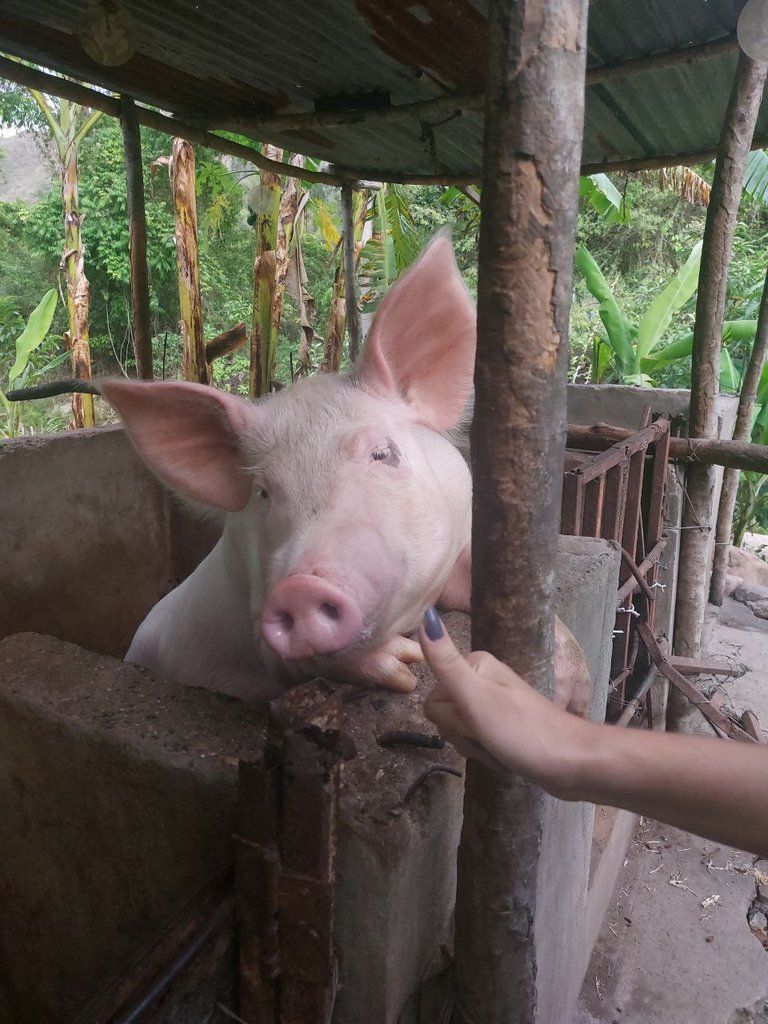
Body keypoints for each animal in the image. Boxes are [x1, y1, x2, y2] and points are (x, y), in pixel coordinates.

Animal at [102, 234, 593, 712]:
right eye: (264, 491)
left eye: (383, 453)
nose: (300, 588)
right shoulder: (258, 614)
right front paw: (404, 666)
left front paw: (571, 697)